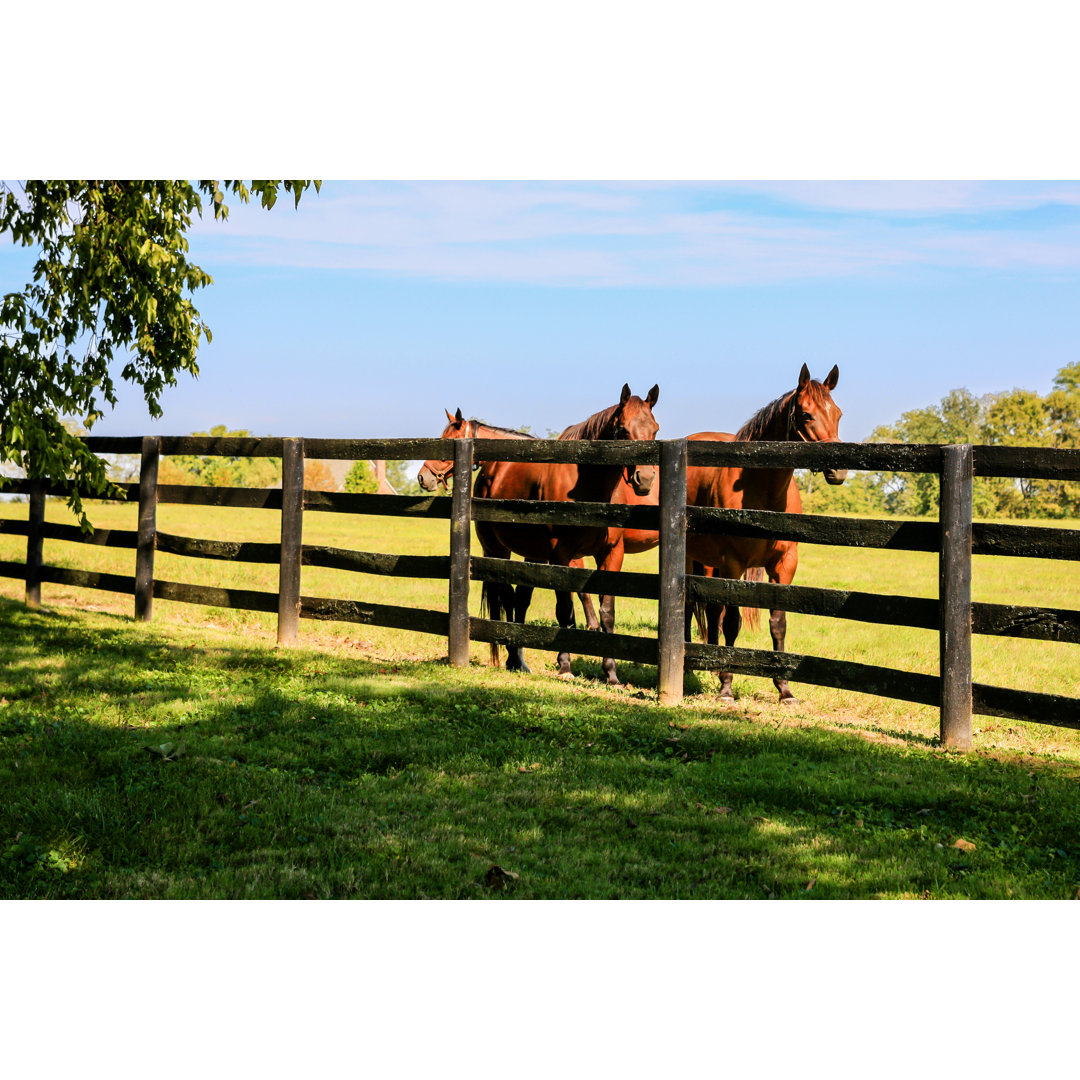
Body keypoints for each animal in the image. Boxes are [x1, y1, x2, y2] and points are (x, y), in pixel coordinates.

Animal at [686, 365, 846, 708]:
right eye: (806, 414)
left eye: (838, 413)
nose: (838, 472)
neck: (762, 489)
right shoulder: (733, 565)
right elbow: (733, 621)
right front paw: (727, 687)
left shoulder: (784, 565)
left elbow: (778, 623)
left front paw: (785, 689)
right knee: (695, 605)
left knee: (711, 610)